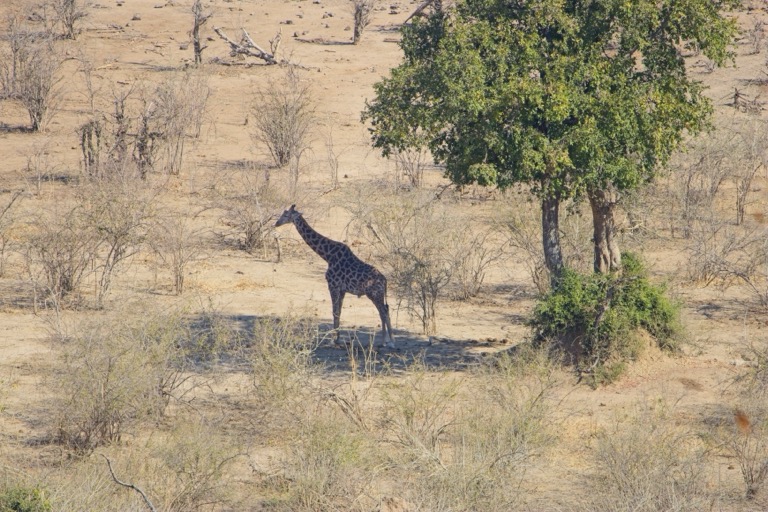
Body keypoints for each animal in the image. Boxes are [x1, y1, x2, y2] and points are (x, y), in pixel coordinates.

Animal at [275, 205, 396, 348]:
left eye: (286, 215)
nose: (276, 223)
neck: (327, 255)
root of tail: (385, 280)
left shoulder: (333, 286)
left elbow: (334, 312)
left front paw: (333, 340)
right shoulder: (342, 289)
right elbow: (339, 312)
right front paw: (337, 338)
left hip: (375, 294)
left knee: (383, 311)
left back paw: (388, 341)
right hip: (376, 294)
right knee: (385, 310)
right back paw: (386, 340)